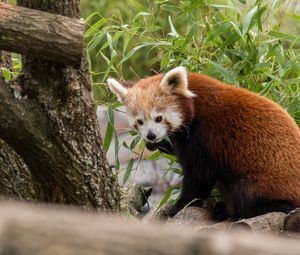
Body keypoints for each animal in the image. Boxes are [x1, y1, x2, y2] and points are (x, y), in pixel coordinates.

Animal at [108, 66, 300, 218]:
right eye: (139, 121)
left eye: (159, 118)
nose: (151, 136)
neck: (195, 104)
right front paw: (159, 144)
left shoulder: (206, 135)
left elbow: (199, 175)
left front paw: (179, 206)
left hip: (266, 180)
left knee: (245, 196)